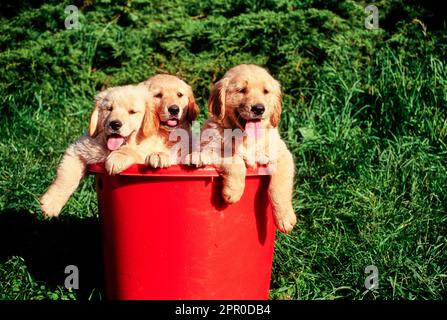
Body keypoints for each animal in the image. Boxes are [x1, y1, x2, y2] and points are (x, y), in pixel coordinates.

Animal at [40, 85, 156, 218]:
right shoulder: (78, 151)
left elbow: (134, 151)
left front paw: (116, 159)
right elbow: (66, 177)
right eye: (109, 109)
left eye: (132, 112)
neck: (109, 149)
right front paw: (50, 204)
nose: (115, 124)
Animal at [199, 64, 298, 232]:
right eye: (242, 90)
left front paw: (285, 218)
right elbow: (236, 161)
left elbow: (279, 186)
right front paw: (233, 192)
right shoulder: (210, 148)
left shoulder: (282, 155)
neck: (246, 138)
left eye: (266, 91)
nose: (258, 108)